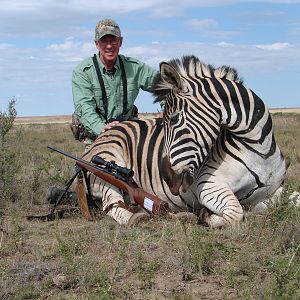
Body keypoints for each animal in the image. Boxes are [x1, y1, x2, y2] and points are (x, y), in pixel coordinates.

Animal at [154, 55, 288, 227]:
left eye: (174, 119)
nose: (167, 178)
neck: (260, 149)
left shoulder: (270, 191)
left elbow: (293, 199)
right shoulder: (208, 183)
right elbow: (236, 213)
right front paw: (205, 215)